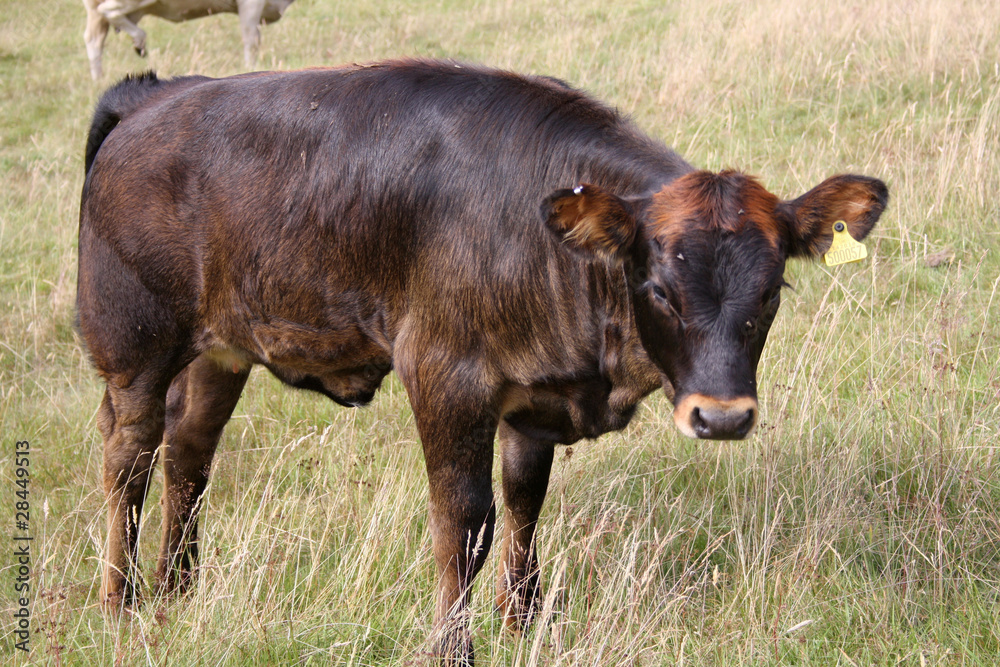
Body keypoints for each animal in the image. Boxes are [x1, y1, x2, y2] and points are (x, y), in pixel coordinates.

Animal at [77, 60, 888, 665]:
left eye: (772, 287)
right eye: (658, 287)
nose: (722, 417)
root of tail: (157, 95)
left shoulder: (532, 399)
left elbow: (524, 502)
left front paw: (523, 619)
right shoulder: (444, 377)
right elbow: (464, 521)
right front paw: (453, 647)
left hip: (220, 350)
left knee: (188, 453)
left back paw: (178, 590)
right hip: (135, 346)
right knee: (128, 457)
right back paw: (119, 601)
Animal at [82, 0, 295, 80]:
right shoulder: (251, 4)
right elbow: (251, 40)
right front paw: (251, 67)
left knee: (93, 40)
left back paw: (98, 79)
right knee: (109, 12)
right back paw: (139, 41)